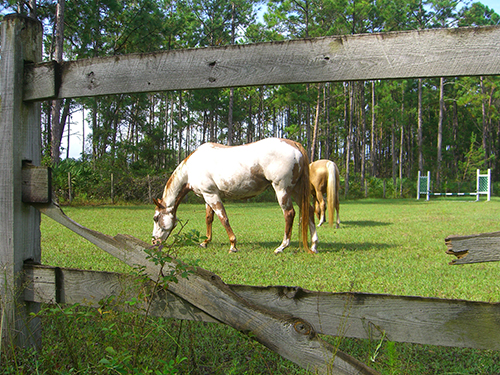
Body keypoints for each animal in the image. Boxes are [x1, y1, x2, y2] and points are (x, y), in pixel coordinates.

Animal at [150, 138, 318, 256]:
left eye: (156, 218)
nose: (154, 242)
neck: (192, 167)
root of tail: (294, 144)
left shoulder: (212, 195)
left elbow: (223, 218)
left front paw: (233, 245)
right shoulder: (207, 196)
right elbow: (209, 218)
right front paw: (205, 242)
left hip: (282, 189)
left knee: (289, 214)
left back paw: (282, 247)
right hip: (296, 190)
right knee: (309, 211)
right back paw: (314, 245)